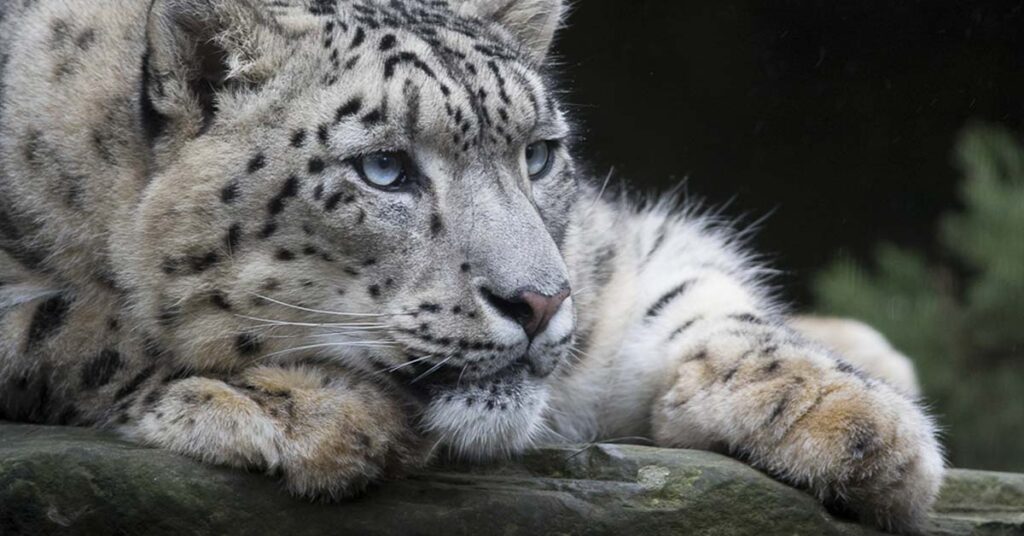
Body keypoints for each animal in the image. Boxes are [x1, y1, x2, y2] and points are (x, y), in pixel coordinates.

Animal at [0, 0, 943, 532]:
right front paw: (304, 408)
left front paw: (853, 425)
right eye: (384, 168)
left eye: (540, 154)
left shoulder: (606, 257)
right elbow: (77, 324)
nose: (540, 301)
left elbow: (689, 292)